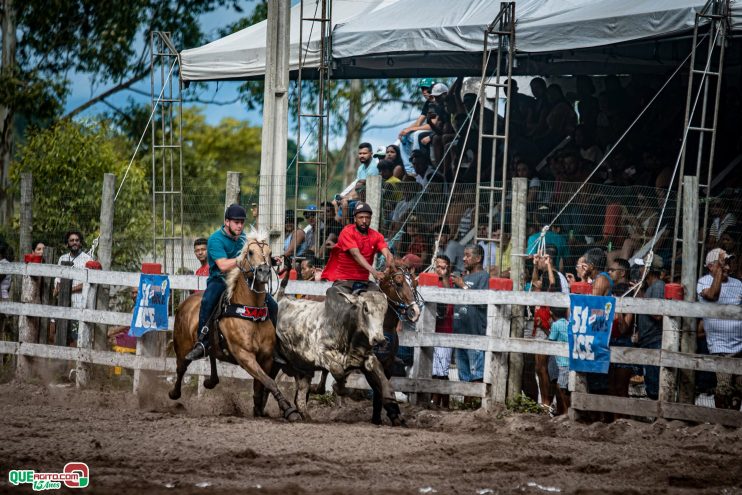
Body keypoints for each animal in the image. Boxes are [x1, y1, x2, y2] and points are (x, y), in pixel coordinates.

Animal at [171, 232, 302, 422]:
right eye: (250, 252)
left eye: (270, 254)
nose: (263, 272)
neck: (251, 314)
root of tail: (184, 304)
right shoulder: (244, 355)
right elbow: (269, 382)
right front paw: (289, 409)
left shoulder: (266, 357)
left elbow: (261, 385)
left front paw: (259, 409)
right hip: (182, 347)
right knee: (181, 368)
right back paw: (174, 394)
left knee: (210, 356)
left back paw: (211, 381)